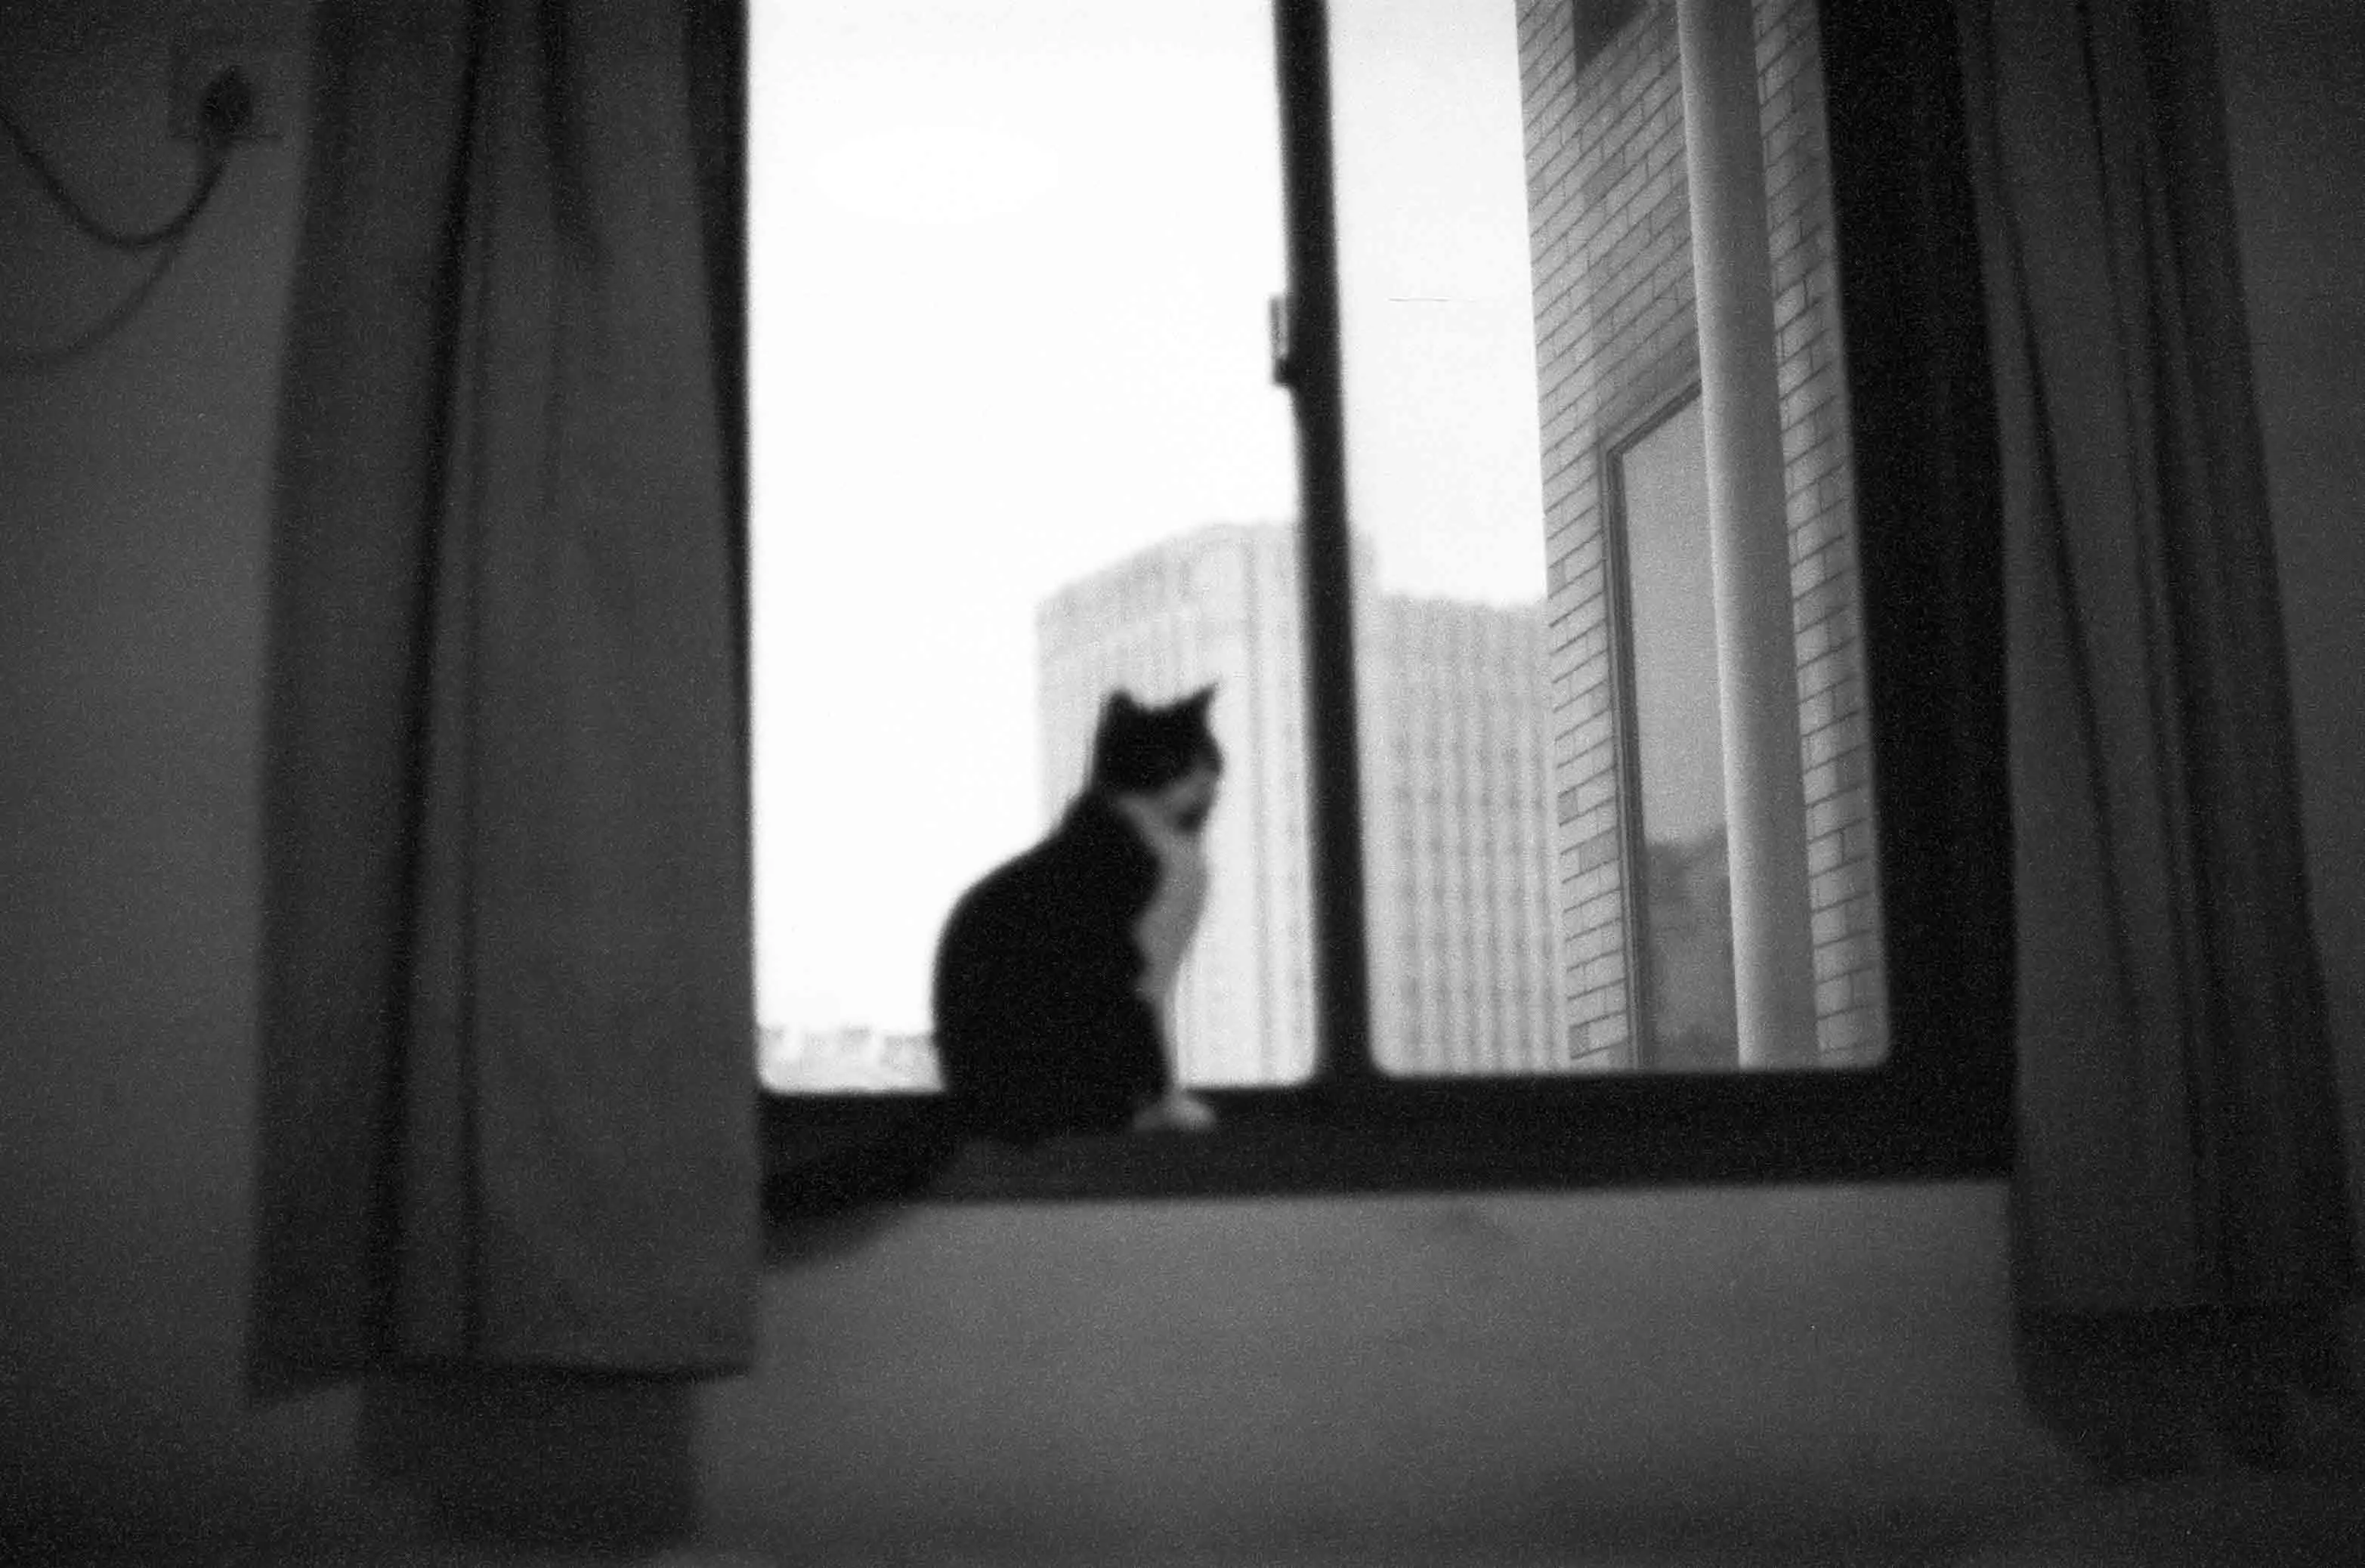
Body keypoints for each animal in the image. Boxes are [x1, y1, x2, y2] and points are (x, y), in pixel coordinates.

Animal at [931, 686, 1223, 1143]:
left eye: (1207, 755)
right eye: (1165, 759)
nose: (1201, 782)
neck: (1165, 839)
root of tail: (974, 1110)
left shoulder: (1162, 977)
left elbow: (1165, 1041)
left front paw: (1168, 1108)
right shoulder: (1139, 972)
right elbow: (1156, 1052)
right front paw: (1173, 1112)